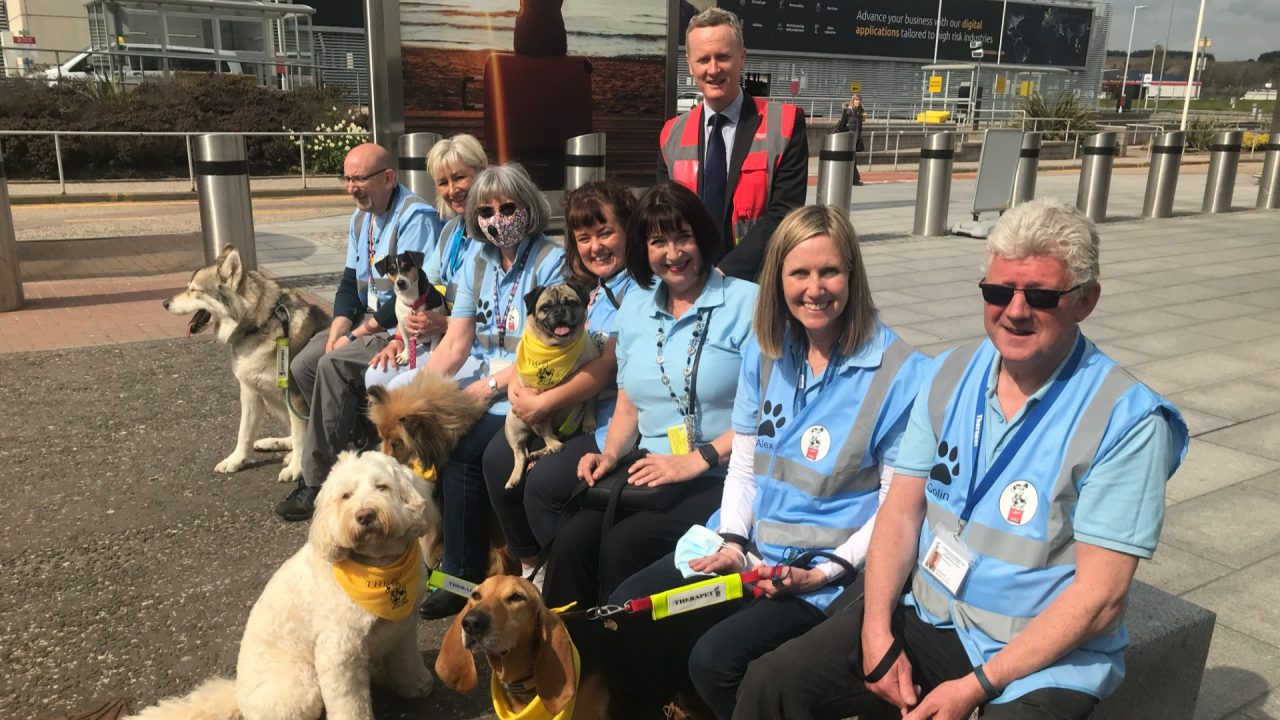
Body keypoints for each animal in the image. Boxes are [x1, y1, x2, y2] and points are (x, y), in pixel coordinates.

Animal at [162, 242, 330, 481]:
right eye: (188, 287)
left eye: (194, 290)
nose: (164, 303)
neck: (258, 326)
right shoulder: (250, 392)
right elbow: (244, 433)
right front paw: (235, 461)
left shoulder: (295, 396)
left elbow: (300, 436)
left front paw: (296, 468)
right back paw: (273, 443)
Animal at [499, 280, 599, 486]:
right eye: (545, 308)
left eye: (571, 303)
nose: (559, 310)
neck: (557, 349)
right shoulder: (536, 404)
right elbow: (545, 427)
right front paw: (552, 443)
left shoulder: (590, 392)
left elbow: (589, 407)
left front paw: (589, 424)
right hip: (513, 423)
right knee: (520, 452)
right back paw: (517, 475)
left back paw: (540, 452)